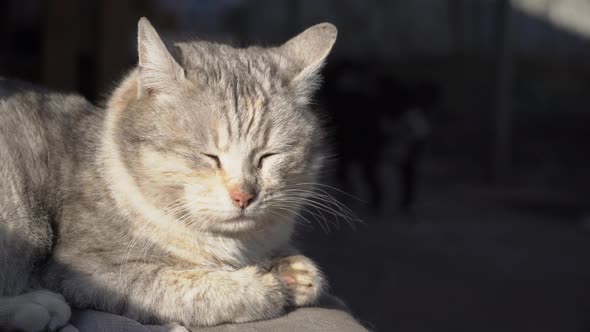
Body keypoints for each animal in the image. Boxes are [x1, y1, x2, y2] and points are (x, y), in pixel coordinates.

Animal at [0, 17, 340, 330]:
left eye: (268, 156)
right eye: (209, 156)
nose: (243, 195)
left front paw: (293, 270)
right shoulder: (89, 269)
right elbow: (189, 288)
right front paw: (265, 285)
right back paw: (39, 308)